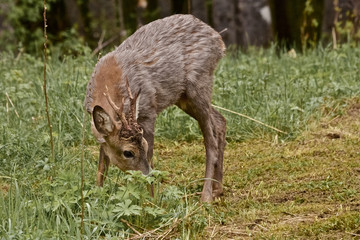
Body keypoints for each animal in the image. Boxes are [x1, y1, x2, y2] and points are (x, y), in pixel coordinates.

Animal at [84, 14, 225, 202]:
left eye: (143, 145)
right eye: (128, 152)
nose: (145, 174)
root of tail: (217, 39)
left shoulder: (148, 111)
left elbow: (150, 157)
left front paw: (152, 201)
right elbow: (101, 167)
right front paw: (97, 198)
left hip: (199, 84)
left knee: (211, 140)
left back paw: (206, 196)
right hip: (183, 97)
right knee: (220, 121)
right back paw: (218, 189)